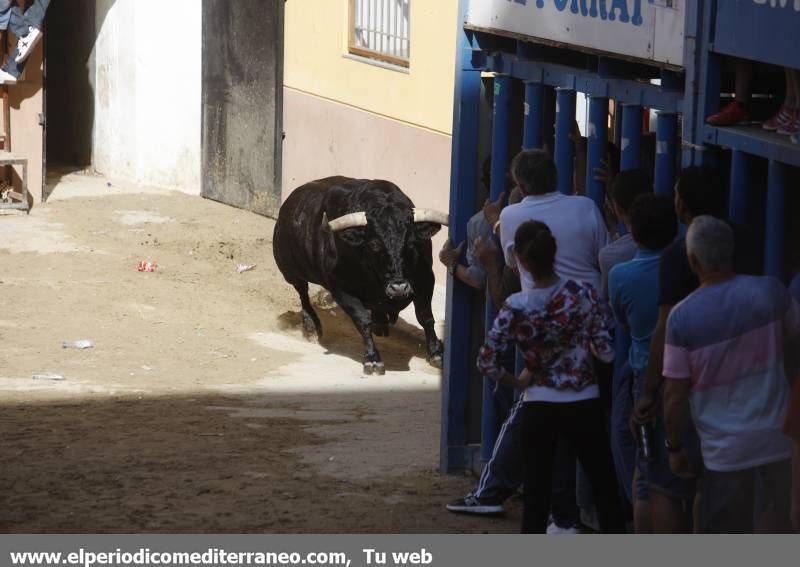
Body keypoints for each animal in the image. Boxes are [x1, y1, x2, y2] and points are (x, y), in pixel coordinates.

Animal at [274, 175, 450, 374]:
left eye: (412, 243)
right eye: (373, 245)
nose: (399, 288)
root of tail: (287, 206)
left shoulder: (425, 279)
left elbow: (425, 317)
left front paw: (437, 353)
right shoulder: (340, 288)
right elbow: (362, 320)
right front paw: (373, 359)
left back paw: (381, 323)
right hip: (290, 271)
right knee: (302, 292)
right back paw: (311, 325)